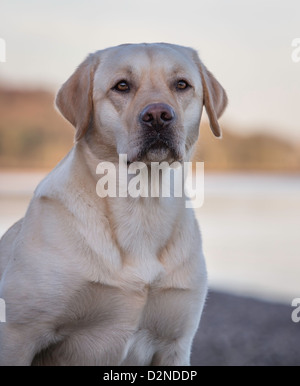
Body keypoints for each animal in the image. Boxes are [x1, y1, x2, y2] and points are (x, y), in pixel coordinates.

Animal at [0, 43, 226, 364]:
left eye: (182, 85)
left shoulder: (176, 345)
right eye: (122, 86)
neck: (142, 204)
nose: (158, 115)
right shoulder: (18, 334)